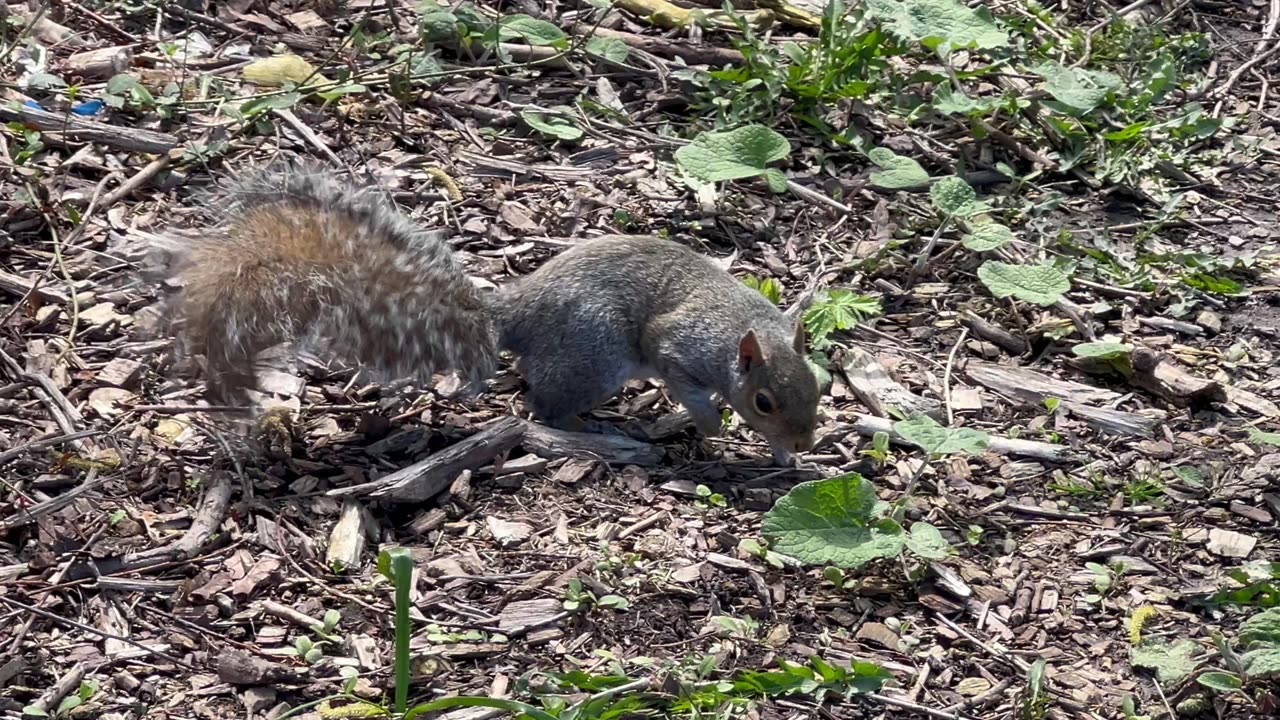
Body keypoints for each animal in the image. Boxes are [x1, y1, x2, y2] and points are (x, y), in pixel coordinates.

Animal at [154, 163, 819, 458]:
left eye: (820, 387)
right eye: (764, 401)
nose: (806, 441)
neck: (744, 330)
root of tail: (518, 314)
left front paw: (782, 456)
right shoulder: (679, 345)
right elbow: (684, 379)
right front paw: (713, 428)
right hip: (595, 356)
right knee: (544, 407)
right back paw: (600, 432)